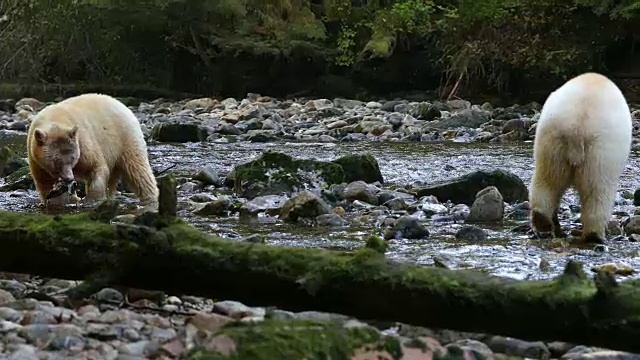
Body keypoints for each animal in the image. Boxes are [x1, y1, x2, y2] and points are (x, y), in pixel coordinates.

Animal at [28, 93, 160, 211]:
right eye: (56, 161)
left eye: (73, 158)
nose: (69, 178)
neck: (55, 119)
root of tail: (124, 107)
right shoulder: (37, 160)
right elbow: (45, 183)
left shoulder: (84, 142)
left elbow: (95, 167)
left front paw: (91, 201)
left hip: (125, 137)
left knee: (137, 170)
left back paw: (150, 198)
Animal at [528, 71, 632, 243]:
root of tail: (576, 127)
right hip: (600, 150)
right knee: (598, 191)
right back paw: (594, 235)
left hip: (552, 140)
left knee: (547, 181)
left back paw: (544, 223)